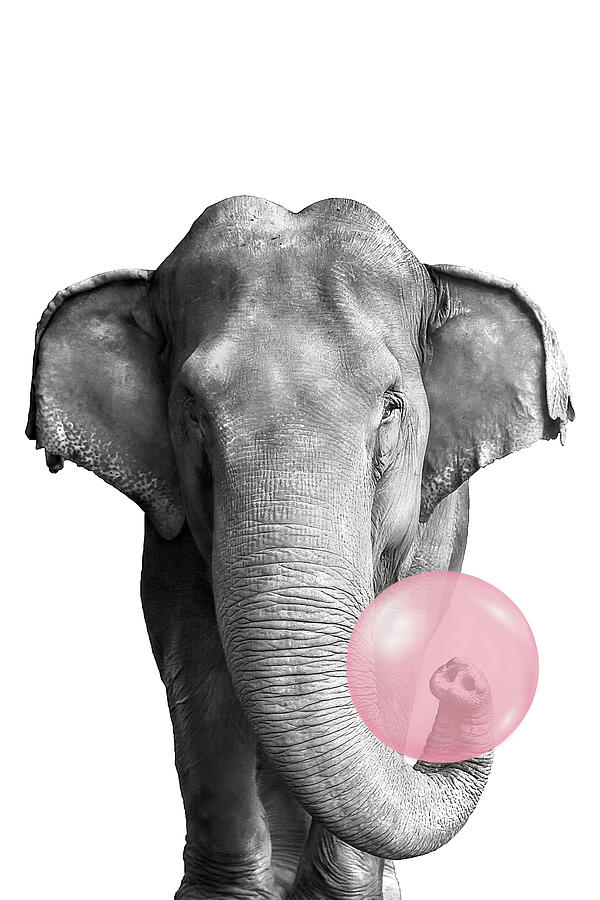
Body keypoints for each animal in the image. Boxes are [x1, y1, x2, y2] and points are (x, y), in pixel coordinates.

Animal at [27, 196, 573, 900]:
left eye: (391, 407)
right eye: (193, 411)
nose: (463, 674)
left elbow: (394, 646)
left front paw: (344, 897)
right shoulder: (170, 526)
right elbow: (195, 663)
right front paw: (229, 897)